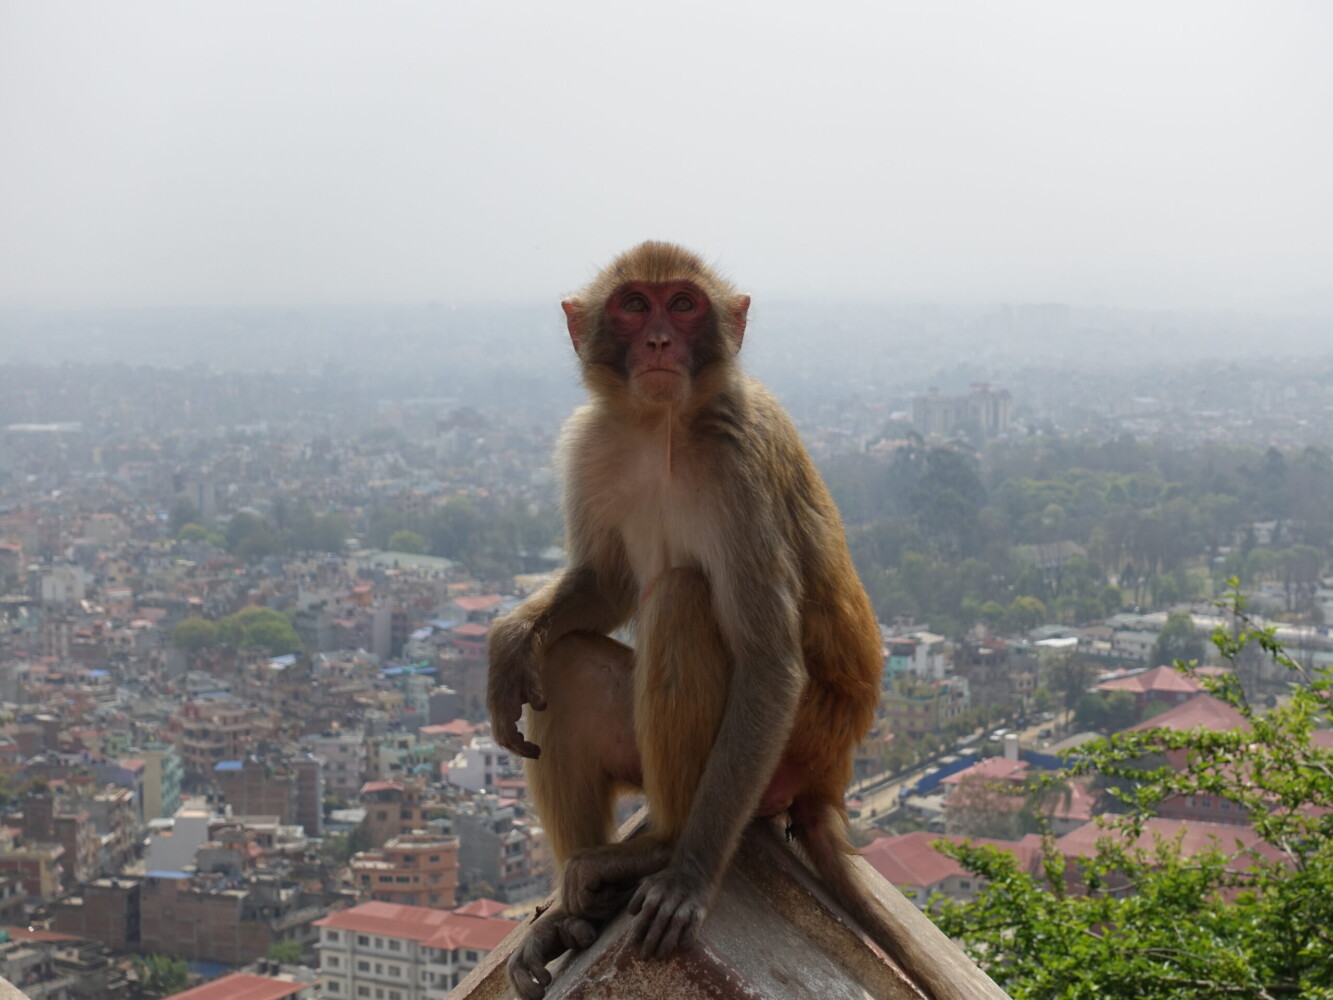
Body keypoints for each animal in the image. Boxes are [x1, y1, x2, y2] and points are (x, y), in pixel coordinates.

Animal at [488, 242, 936, 999]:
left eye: (683, 304)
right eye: (633, 305)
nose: (659, 341)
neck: (660, 426)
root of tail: (833, 772)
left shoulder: (737, 462)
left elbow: (767, 659)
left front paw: (689, 879)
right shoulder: (590, 443)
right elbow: (604, 585)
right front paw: (510, 640)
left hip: (789, 747)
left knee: (681, 598)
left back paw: (661, 850)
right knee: (570, 664)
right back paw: (574, 915)